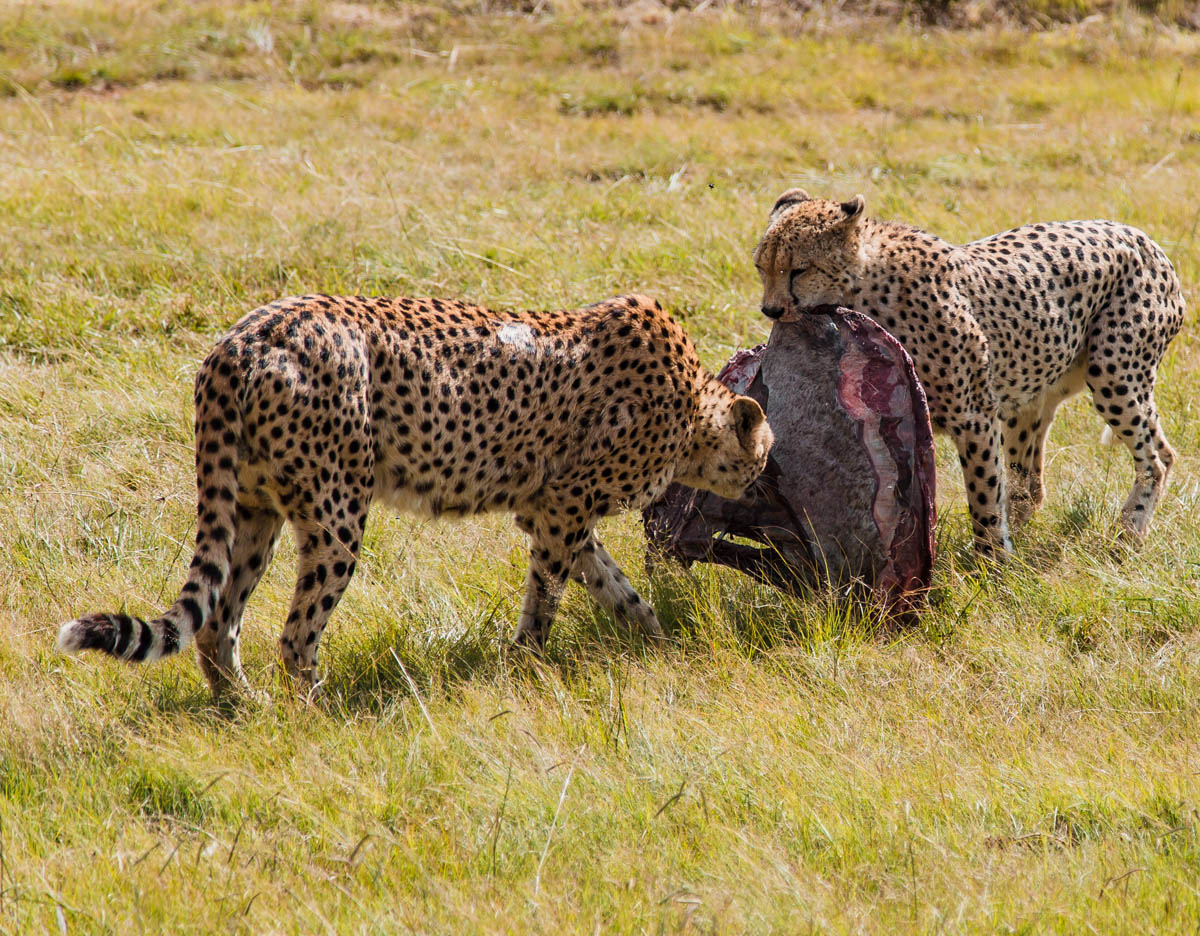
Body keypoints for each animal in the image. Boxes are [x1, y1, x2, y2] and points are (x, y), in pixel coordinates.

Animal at [58, 292, 768, 696]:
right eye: (763, 454)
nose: (763, 474)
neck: (694, 412)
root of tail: (243, 338)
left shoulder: (544, 508)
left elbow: (608, 580)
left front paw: (653, 638)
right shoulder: (563, 505)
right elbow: (547, 594)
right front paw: (526, 665)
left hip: (255, 509)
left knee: (217, 622)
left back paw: (245, 711)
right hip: (338, 514)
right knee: (295, 634)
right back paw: (313, 716)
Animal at [753, 189, 1185, 556]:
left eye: (799, 270)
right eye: (761, 268)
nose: (770, 310)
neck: (863, 290)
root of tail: (1143, 239)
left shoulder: (974, 416)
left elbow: (983, 491)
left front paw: (991, 563)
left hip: (1114, 375)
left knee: (1159, 457)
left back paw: (1128, 532)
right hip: (1030, 397)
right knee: (1030, 484)